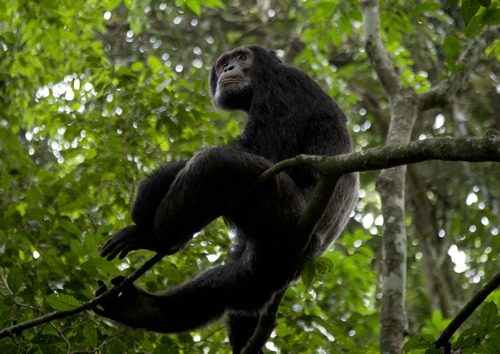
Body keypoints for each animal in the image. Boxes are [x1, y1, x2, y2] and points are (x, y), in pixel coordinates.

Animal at [94, 45, 360, 352]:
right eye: (224, 63)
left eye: (242, 58)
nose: (229, 68)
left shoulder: (283, 85)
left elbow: (257, 149)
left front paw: (146, 199)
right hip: (273, 252)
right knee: (243, 284)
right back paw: (140, 308)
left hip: (286, 215)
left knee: (218, 163)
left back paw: (153, 237)